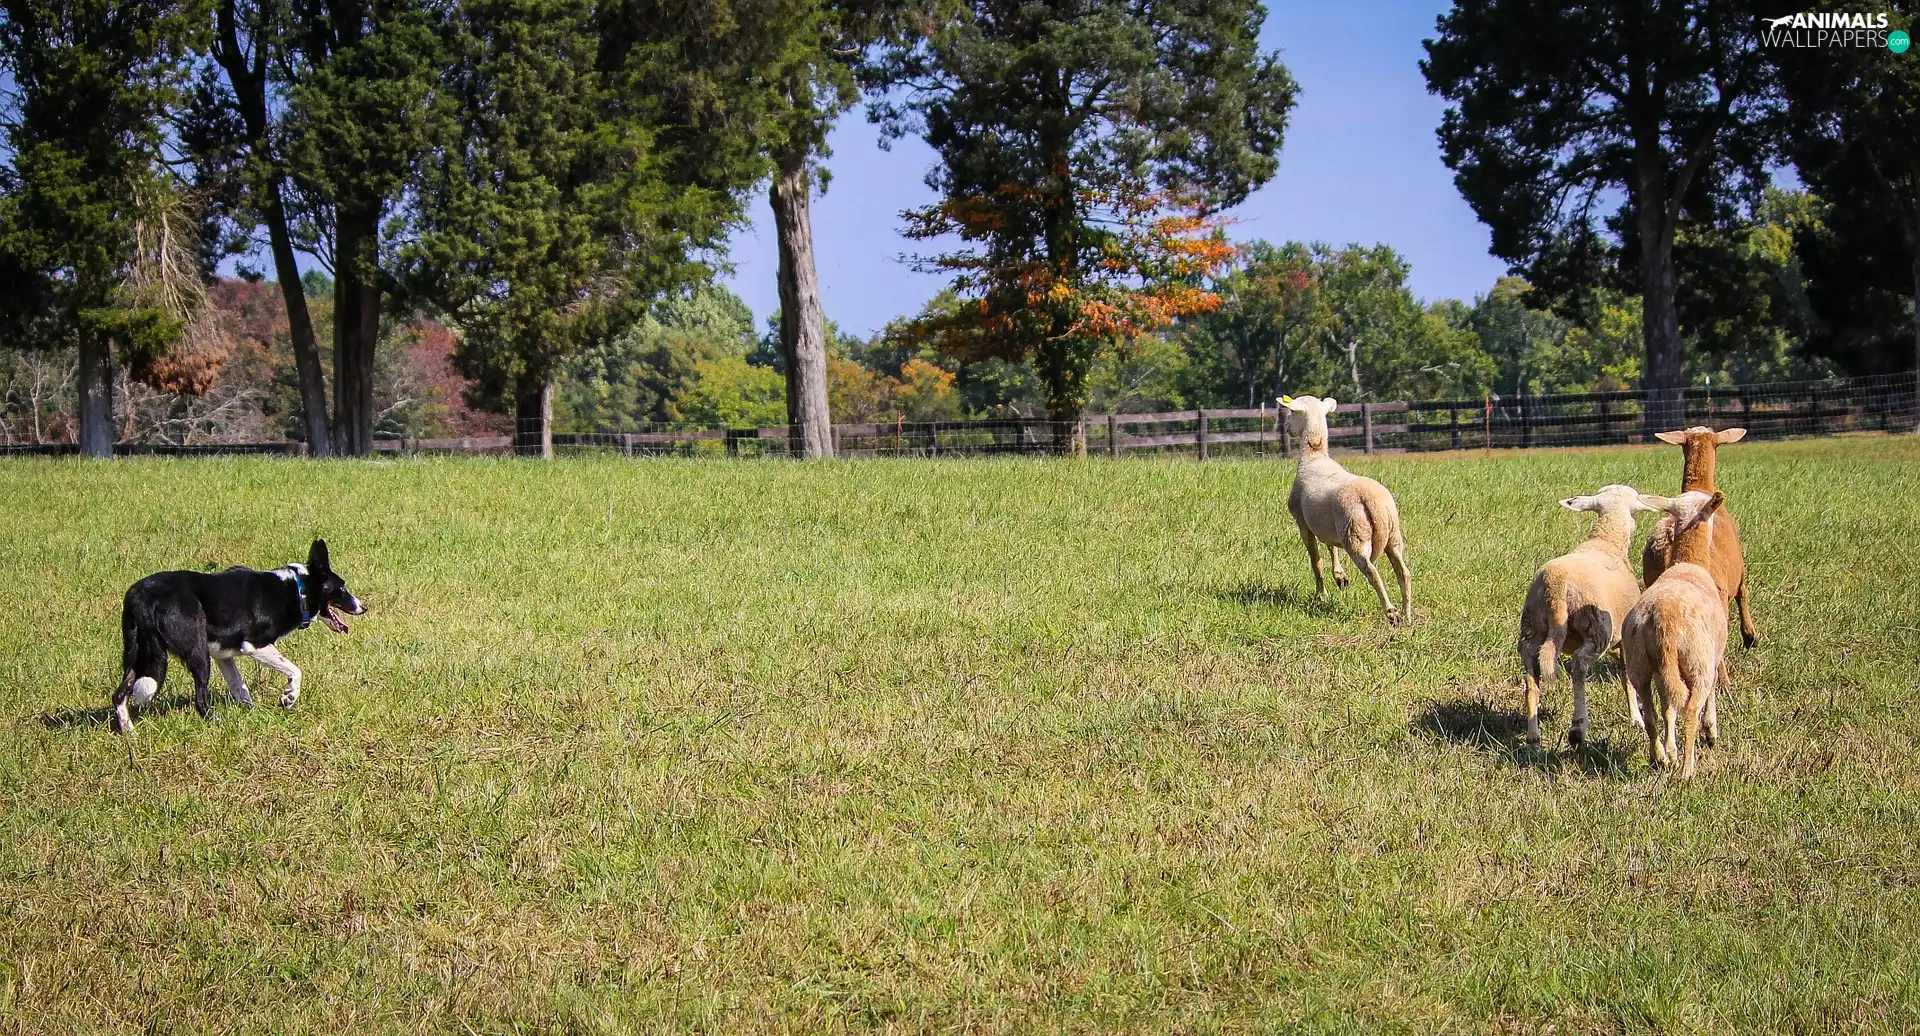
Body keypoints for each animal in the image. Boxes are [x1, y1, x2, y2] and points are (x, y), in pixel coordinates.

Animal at [1277, 394, 1412, 624]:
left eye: (1293, 412)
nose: (1286, 427)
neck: (1314, 455)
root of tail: (1373, 501)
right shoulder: (1327, 525)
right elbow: (1331, 547)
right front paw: (1340, 576)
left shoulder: (1303, 522)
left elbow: (1316, 560)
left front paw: (1321, 594)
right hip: (1393, 535)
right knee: (1404, 572)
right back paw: (1407, 614)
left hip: (1355, 534)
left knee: (1372, 571)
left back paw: (1391, 612)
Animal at [1518, 484, 1662, 748]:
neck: (1606, 541)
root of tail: (1556, 582)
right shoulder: (1626, 638)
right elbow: (1627, 678)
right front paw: (1636, 718)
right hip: (1597, 630)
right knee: (1579, 665)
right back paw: (1578, 728)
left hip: (1530, 630)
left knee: (1531, 680)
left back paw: (1534, 737)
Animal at [1622, 490, 1731, 780]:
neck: (1689, 563)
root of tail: (1664, 620)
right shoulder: (1714, 657)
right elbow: (1710, 694)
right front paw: (1711, 730)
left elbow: (1668, 707)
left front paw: (1670, 751)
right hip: (1697, 661)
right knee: (1692, 710)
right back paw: (1687, 769)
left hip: (1639, 663)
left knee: (1651, 713)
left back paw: (1659, 757)